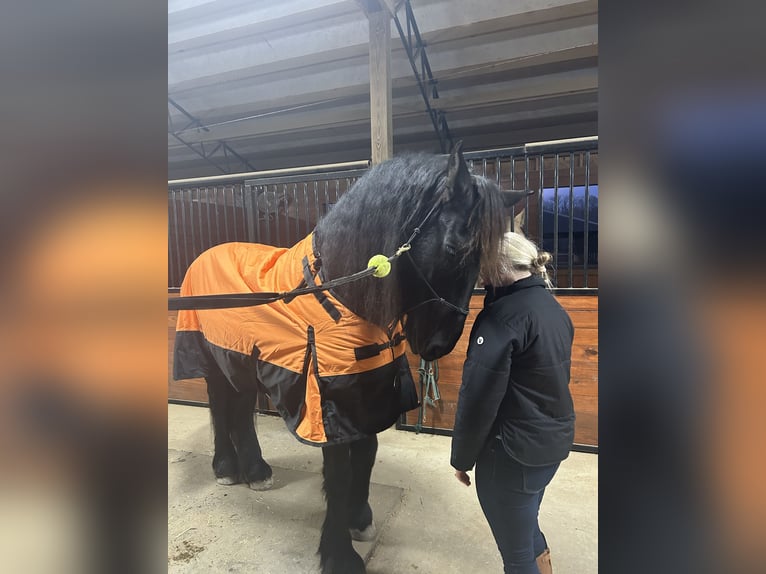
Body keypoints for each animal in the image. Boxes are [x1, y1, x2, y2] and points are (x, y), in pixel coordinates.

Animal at [173, 142, 532, 572]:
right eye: (453, 248)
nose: (439, 344)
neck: (338, 292)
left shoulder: (369, 389)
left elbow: (367, 454)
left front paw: (358, 518)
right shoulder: (327, 400)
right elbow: (339, 472)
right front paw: (339, 553)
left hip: (242, 359)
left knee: (241, 410)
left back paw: (255, 471)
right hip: (215, 362)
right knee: (220, 405)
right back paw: (227, 467)